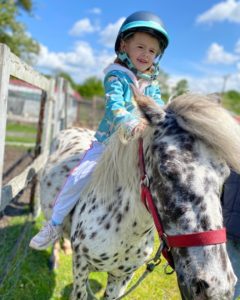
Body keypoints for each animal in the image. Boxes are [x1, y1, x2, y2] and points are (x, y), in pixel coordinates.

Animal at [39, 92, 240, 298]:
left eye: (225, 176)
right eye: (167, 170)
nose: (217, 288)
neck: (122, 227)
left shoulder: (122, 276)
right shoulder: (81, 266)